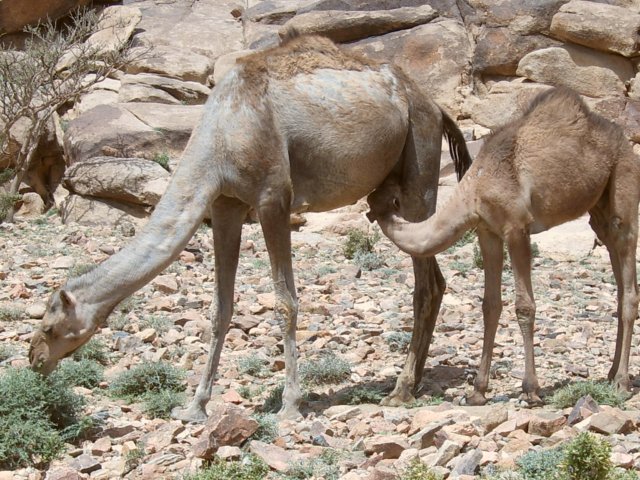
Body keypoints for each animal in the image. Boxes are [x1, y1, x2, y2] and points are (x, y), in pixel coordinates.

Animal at [27, 34, 472, 424]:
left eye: (49, 327)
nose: (33, 359)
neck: (222, 132)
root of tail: (434, 104)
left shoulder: (274, 198)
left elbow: (285, 301)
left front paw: (290, 405)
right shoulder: (226, 204)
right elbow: (220, 308)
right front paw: (195, 407)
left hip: (419, 161)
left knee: (427, 281)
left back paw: (400, 390)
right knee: (433, 279)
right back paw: (412, 383)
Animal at [368, 87, 640, 404]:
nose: (367, 195)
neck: (475, 189)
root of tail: (624, 140)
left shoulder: (517, 228)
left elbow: (524, 306)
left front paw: (531, 389)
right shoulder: (488, 232)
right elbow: (490, 305)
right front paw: (478, 391)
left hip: (623, 181)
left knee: (627, 274)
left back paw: (621, 382)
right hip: (598, 208)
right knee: (614, 263)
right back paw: (611, 373)